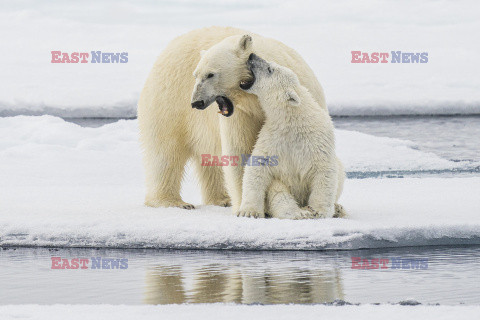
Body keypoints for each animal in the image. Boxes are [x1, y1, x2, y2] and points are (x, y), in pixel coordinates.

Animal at [137, 25, 328, 218]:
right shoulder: (241, 114)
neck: (257, 101)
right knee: (166, 152)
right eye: (196, 75)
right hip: (169, 100)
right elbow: (240, 150)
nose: (196, 102)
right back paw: (173, 202)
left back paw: (221, 199)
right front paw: (247, 207)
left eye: (211, 74)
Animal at [237, 54, 344, 220]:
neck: (294, 119)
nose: (252, 56)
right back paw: (299, 213)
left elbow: (324, 170)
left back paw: (335, 208)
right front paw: (249, 212)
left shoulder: (318, 139)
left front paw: (317, 210)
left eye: (270, 69)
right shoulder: (272, 137)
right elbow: (258, 165)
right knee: (279, 193)